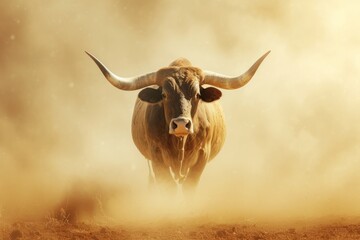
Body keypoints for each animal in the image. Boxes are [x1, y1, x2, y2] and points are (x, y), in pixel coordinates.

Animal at [86, 51, 268, 193]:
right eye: (164, 95)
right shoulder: (156, 156)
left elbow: (189, 187)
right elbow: (168, 187)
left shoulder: (202, 156)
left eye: (197, 94)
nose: (181, 124)